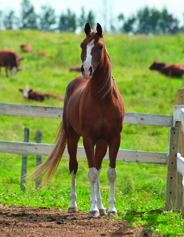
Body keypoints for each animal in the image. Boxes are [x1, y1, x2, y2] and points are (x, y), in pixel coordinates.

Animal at [30, 23, 124, 218]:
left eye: (100, 46)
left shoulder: (114, 139)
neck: (102, 99)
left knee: (98, 166)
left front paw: (111, 209)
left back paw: (101, 206)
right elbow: (91, 173)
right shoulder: (88, 139)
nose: (86, 70)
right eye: (82, 45)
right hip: (72, 137)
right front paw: (92, 209)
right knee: (74, 166)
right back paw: (74, 205)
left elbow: (110, 173)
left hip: (101, 143)